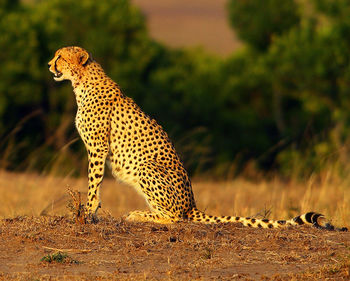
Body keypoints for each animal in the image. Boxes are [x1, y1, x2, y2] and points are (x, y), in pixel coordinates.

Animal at [48, 46, 348, 230]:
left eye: (60, 56)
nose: (50, 65)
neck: (82, 81)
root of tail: (193, 204)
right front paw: (91, 211)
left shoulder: (98, 148)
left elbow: (93, 183)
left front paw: (88, 212)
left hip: (147, 167)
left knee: (175, 218)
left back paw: (138, 215)